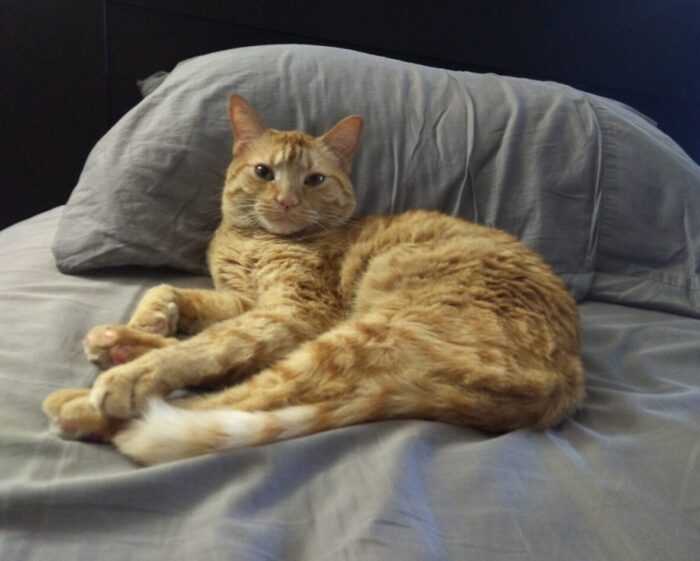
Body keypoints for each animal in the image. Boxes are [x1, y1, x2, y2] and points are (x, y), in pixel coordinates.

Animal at [41, 95, 584, 464]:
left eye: (315, 180)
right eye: (264, 172)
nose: (286, 201)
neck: (255, 241)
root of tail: (564, 382)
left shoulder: (295, 310)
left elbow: (211, 344)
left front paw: (137, 367)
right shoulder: (244, 300)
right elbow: (176, 295)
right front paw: (143, 325)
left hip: (353, 337)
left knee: (242, 397)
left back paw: (89, 403)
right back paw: (119, 348)